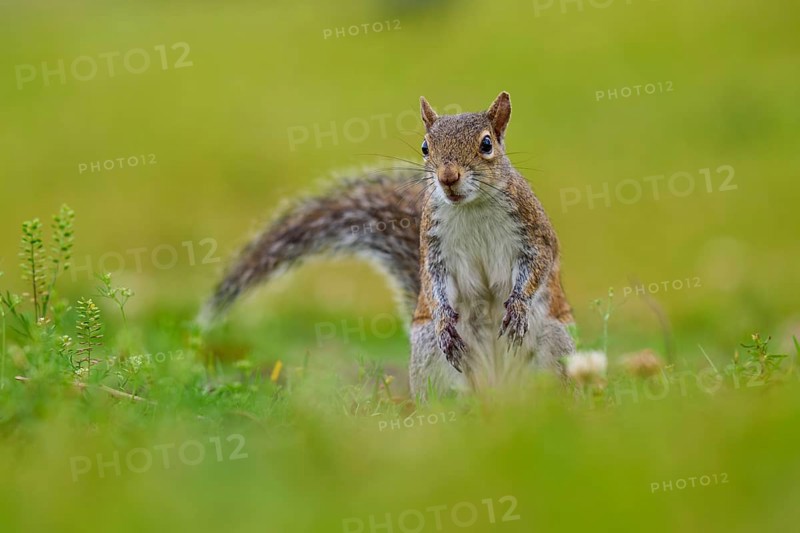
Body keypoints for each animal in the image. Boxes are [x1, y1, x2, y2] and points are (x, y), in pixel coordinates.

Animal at [199, 91, 591, 399]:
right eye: (425, 147)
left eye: (486, 144)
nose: (447, 177)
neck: (471, 206)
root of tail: (497, 392)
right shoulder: (433, 246)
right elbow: (433, 283)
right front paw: (444, 318)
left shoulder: (533, 230)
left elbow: (539, 263)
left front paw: (517, 306)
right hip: (430, 356)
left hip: (554, 345)